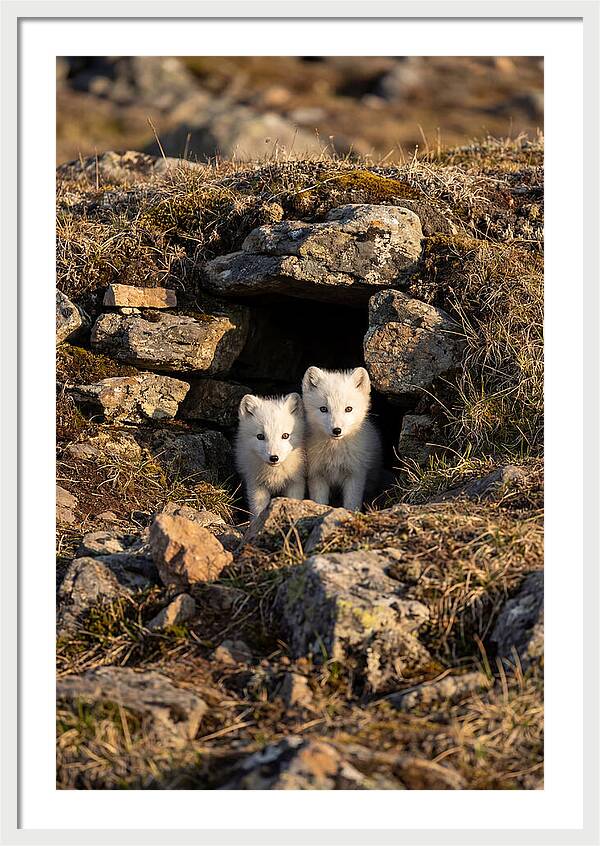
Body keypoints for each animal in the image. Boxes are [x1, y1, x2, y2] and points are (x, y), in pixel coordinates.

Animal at [302, 366, 383, 511]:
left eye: (348, 409)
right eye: (323, 409)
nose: (337, 430)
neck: (335, 453)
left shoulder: (355, 474)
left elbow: (351, 503)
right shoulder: (316, 475)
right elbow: (320, 501)